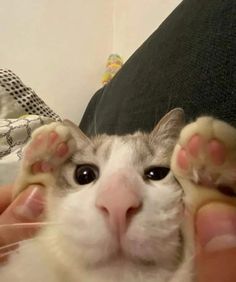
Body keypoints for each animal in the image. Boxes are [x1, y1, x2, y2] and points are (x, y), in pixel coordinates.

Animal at [0, 108, 235, 282]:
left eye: (157, 173)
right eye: (84, 174)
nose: (117, 203)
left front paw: (206, 175)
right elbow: (23, 188)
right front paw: (44, 159)